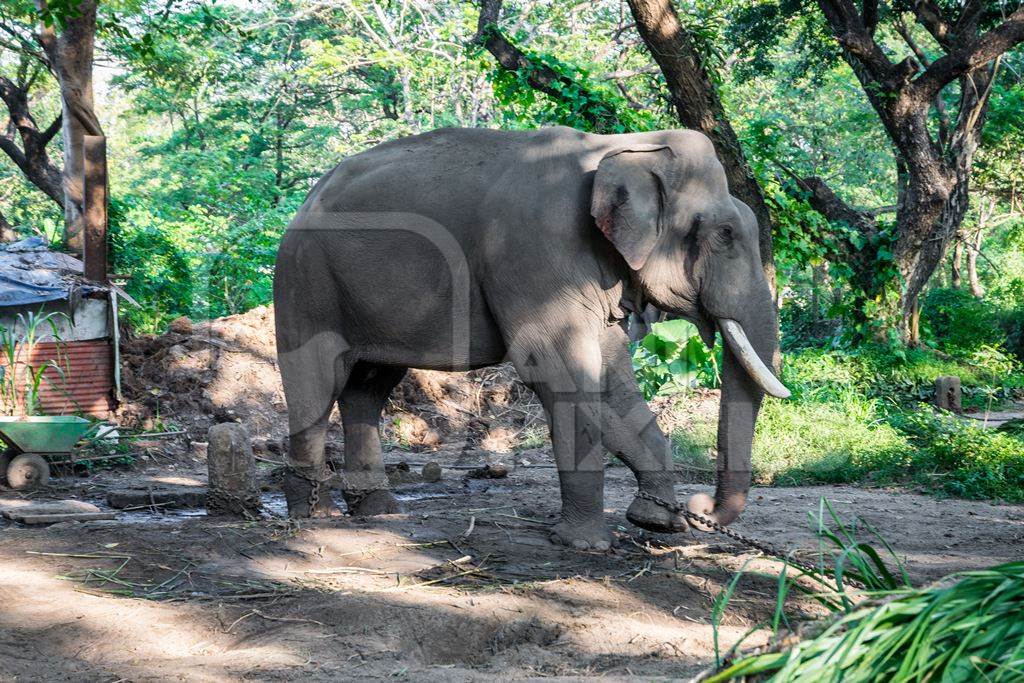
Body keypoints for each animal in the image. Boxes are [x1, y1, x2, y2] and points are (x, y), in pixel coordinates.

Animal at [274, 124, 790, 548]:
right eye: (724, 234)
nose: (703, 508)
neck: (620, 145)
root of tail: (306, 200)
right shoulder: (535, 250)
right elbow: (557, 370)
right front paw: (586, 544)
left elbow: (612, 377)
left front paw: (657, 522)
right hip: (305, 279)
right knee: (316, 381)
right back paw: (314, 516)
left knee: (368, 387)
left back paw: (379, 513)